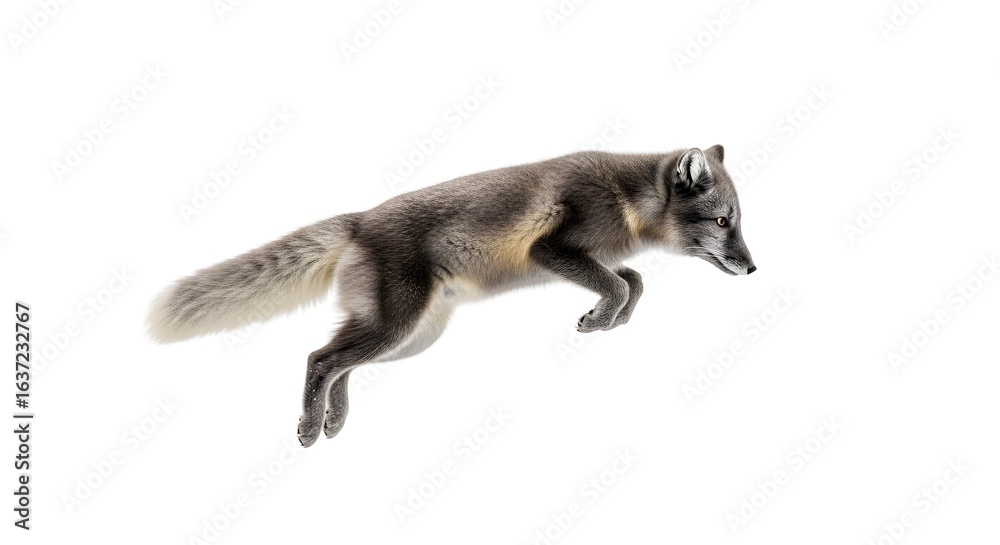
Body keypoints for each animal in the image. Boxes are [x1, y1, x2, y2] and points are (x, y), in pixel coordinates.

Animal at [147, 145, 756, 447]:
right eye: (723, 221)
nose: (753, 267)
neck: (626, 197)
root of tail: (361, 219)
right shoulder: (552, 251)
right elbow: (620, 280)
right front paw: (602, 316)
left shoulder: (590, 258)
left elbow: (634, 281)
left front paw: (611, 320)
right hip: (396, 328)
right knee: (319, 358)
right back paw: (309, 427)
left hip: (410, 339)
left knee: (338, 363)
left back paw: (333, 422)